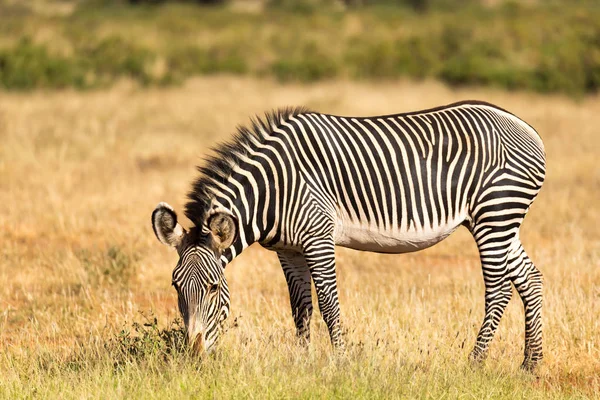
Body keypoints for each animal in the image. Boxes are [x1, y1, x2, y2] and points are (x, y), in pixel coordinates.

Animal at [152, 101, 548, 370]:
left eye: (213, 288)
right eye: (175, 286)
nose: (194, 356)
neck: (273, 189)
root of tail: (525, 126)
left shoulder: (317, 236)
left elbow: (329, 305)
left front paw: (339, 364)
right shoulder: (288, 250)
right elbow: (300, 307)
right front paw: (303, 362)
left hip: (494, 215)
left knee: (498, 290)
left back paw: (475, 363)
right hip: (501, 221)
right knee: (530, 278)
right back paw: (530, 365)